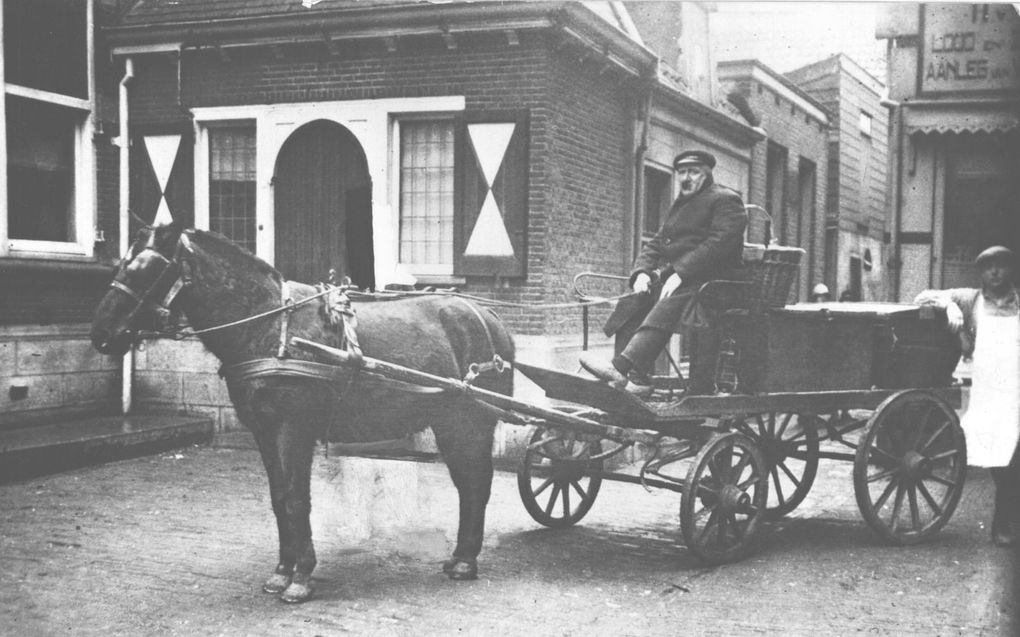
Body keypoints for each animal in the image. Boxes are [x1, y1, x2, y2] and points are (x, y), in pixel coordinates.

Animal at [90, 222, 514, 599]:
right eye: (120, 266)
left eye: (148, 270)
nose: (101, 335)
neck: (269, 327)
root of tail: (489, 317)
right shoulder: (264, 430)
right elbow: (280, 499)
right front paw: (281, 571)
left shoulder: (294, 429)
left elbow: (296, 498)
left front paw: (301, 578)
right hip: (450, 423)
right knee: (468, 484)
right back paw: (459, 558)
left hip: (471, 423)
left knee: (477, 483)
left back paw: (465, 562)